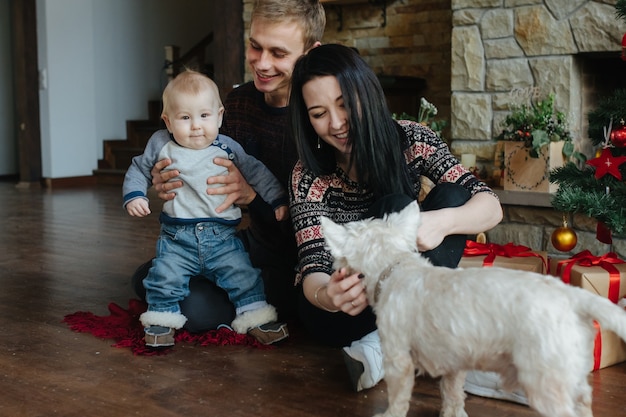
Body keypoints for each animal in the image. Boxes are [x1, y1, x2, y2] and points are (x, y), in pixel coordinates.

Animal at [320, 200, 624, 414]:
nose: (336, 270)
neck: (396, 266)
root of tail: (571, 296)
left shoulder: (398, 358)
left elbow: (398, 398)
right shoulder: (453, 362)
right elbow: (453, 395)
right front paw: (453, 413)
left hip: (545, 378)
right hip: (571, 374)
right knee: (584, 401)